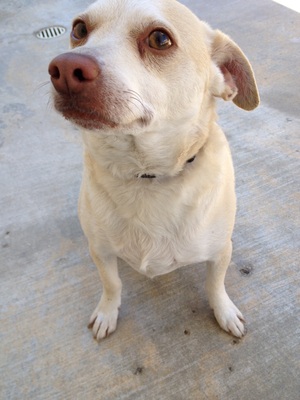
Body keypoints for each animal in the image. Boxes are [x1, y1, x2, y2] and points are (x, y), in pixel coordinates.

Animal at [48, 0, 258, 340]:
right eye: (79, 29)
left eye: (160, 39)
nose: (65, 68)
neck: (146, 175)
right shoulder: (101, 252)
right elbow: (112, 284)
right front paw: (107, 312)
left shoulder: (220, 252)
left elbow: (215, 284)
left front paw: (224, 312)